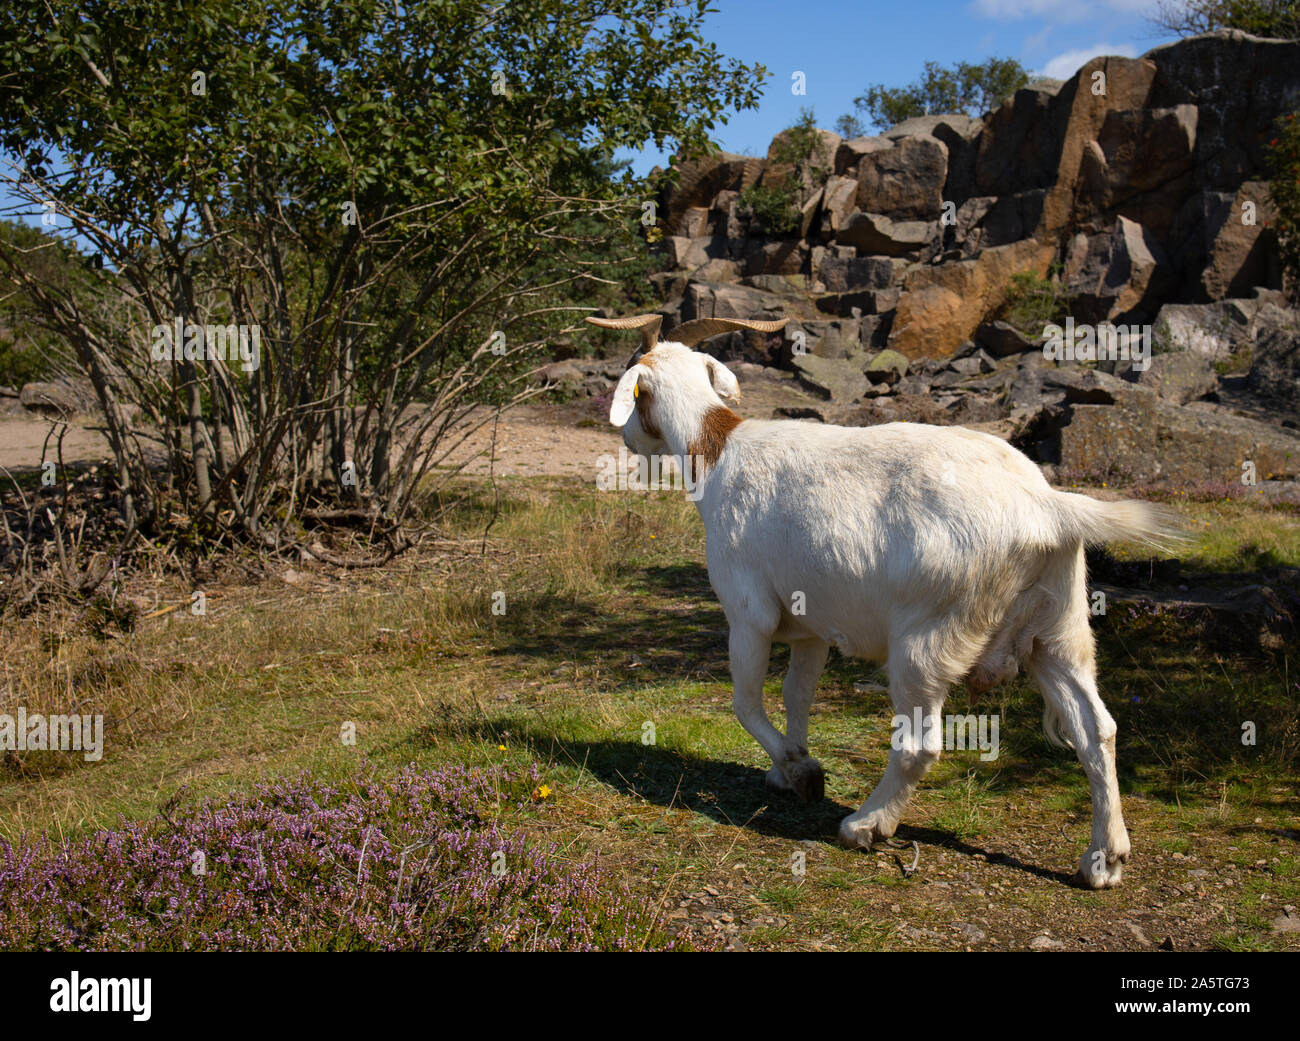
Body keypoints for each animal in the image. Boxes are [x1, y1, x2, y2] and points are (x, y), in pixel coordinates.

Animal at [589, 311, 1180, 888]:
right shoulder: (810, 626)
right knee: (1096, 729)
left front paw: (804, 774)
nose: (628, 440)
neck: (717, 451)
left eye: (634, 390)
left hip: (927, 637)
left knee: (921, 742)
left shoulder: (749, 613)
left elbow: (746, 702)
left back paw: (866, 825)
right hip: (1059, 628)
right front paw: (787, 767)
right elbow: (796, 696)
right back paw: (1104, 860)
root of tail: (1045, 505)